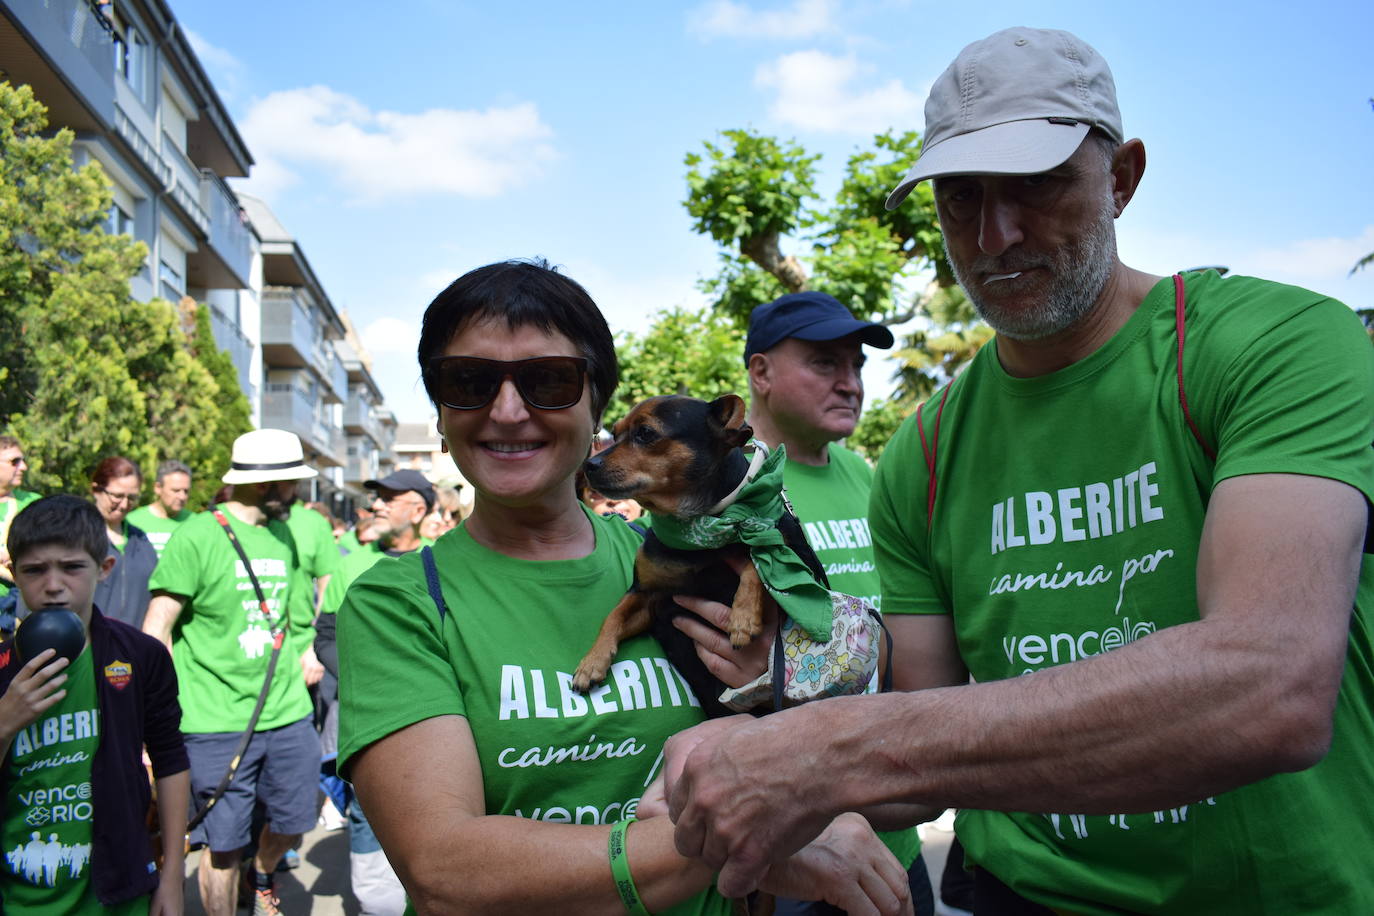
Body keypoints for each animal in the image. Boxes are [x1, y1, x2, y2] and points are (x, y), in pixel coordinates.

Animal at [571, 392, 824, 714]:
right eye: (614, 434)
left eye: (645, 433)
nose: (588, 464)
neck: (700, 526)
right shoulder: (648, 596)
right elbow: (613, 616)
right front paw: (591, 664)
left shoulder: (799, 567)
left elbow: (756, 559)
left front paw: (743, 618)